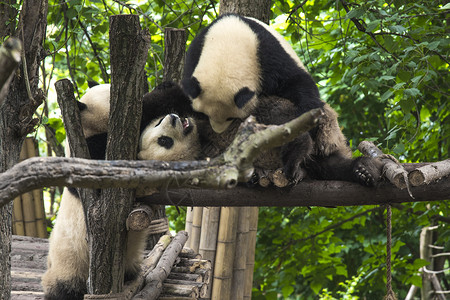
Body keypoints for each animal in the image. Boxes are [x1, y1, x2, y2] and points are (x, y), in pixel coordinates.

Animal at [41, 84, 149, 300]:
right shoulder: (87, 154)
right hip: (70, 264)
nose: (145, 94)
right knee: (63, 285)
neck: (88, 128)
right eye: (111, 97)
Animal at [181, 15, 382, 186]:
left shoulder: (266, 53)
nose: (219, 129)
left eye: (230, 118)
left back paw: (360, 169)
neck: (228, 44)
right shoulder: (195, 54)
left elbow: (298, 84)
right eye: (204, 114)